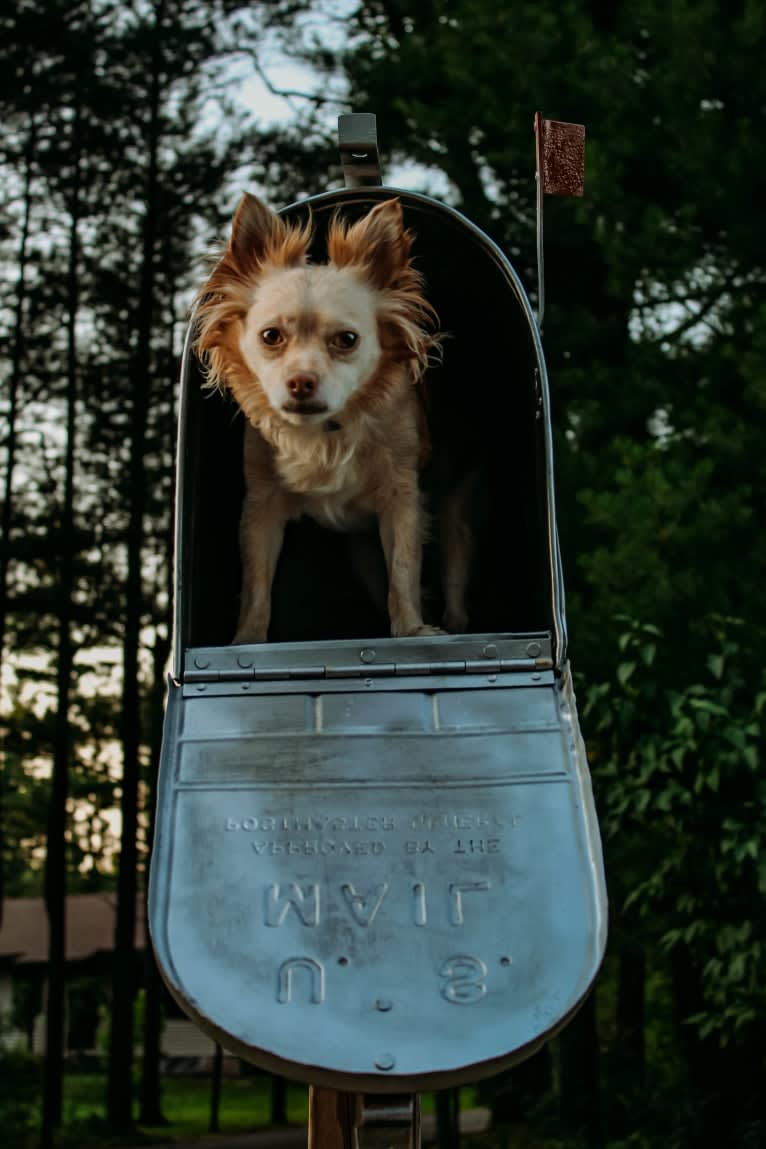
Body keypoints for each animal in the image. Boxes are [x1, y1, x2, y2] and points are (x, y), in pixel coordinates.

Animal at [195, 197, 445, 648]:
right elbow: (256, 582)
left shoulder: (402, 497)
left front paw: (412, 629)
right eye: (271, 336)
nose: (301, 382)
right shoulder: (260, 508)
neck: (325, 432)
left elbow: (403, 570)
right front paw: (247, 639)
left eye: (346, 340)